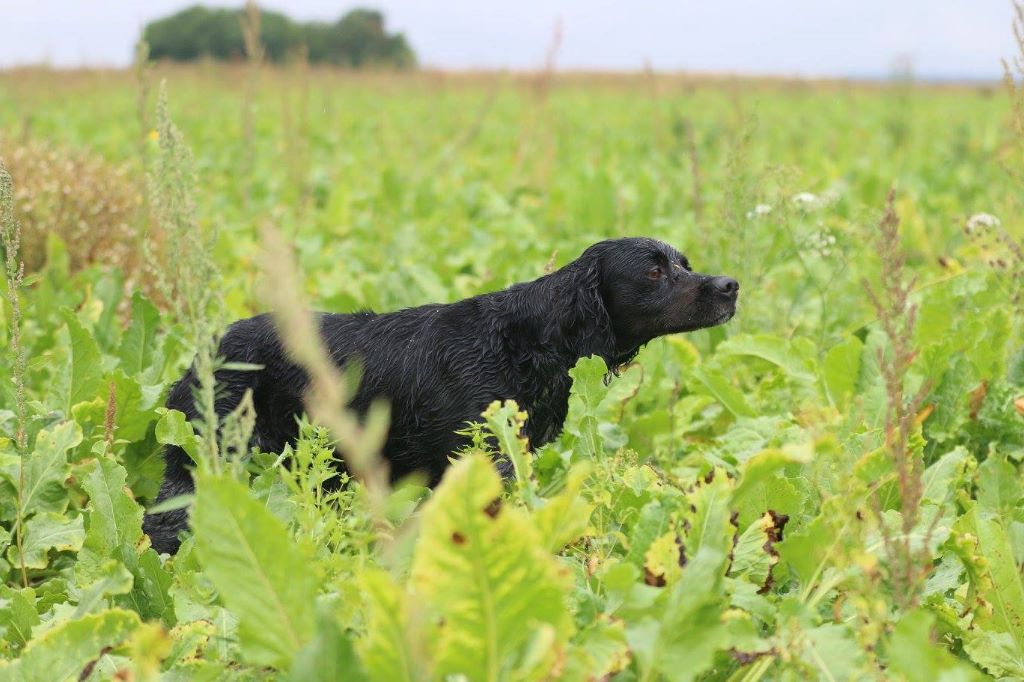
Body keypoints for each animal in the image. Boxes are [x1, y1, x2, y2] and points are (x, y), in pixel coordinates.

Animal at [144, 236, 737, 548]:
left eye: (683, 263)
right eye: (654, 271)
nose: (729, 286)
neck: (527, 340)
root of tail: (203, 352)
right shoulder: (484, 460)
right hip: (204, 460)